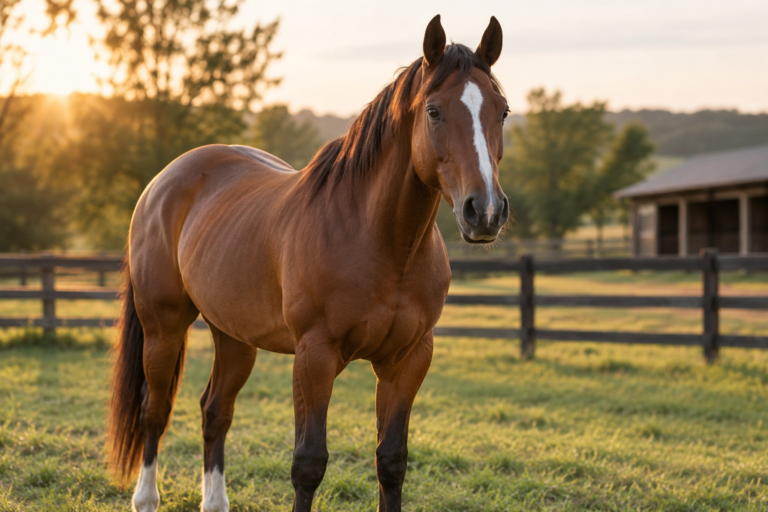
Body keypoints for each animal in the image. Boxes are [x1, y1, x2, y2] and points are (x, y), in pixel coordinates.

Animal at [108, 14, 509, 512]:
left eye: (502, 112)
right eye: (434, 111)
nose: (485, 211)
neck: (381, 243)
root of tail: (163, 181)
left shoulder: (408, 360)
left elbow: (392, 461)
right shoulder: (314, 356)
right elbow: (309, 463)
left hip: (235, 337)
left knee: (215, 411)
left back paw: (215, 501)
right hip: (163, 328)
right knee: (155, 410)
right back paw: (146, 497)